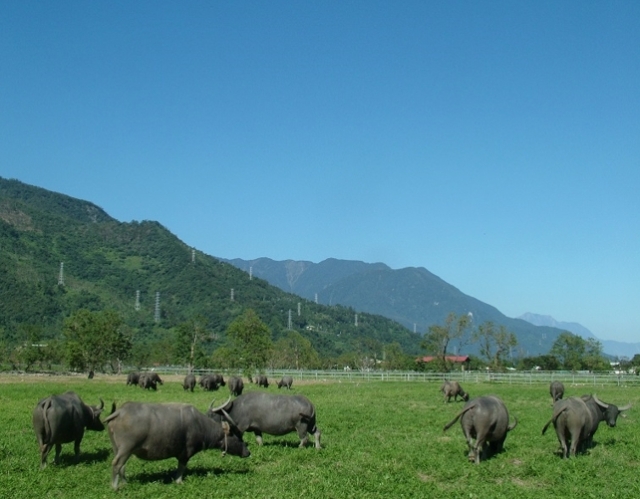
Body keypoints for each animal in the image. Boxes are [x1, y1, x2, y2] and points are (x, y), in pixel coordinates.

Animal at [104, 400, 249, 490]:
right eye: (238, 436)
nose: (248, 452)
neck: (200, 425)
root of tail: (120, 411)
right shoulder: (186, 453)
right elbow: (181, 467)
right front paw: (179, 481)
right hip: (126, 448)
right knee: (117, 464)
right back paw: (115, 487)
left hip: (117, 448)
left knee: (122, 466)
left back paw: (125, 483)